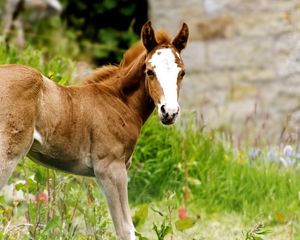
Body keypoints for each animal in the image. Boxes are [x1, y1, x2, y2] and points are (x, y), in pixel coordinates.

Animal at [0, 21, 189, 239]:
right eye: (150, 71)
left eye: (181, 73)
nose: (170, 112)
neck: (119, 100)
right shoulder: (110, 168)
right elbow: (126, 230)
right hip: (8, 153)